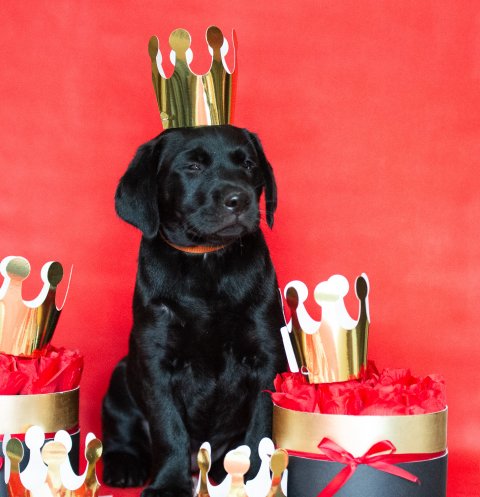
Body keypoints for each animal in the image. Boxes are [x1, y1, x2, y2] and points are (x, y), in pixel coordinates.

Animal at [102, 124, 286, 497]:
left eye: (248, 164)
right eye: (193, 167)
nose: (239, 199)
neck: (207, 260)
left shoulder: (266, 356)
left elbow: (261, 426)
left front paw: (255, 480)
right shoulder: (156, 362)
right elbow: (169, 429)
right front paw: (169, 484)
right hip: (120, 377)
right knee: (122, 433)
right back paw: (123, 465)